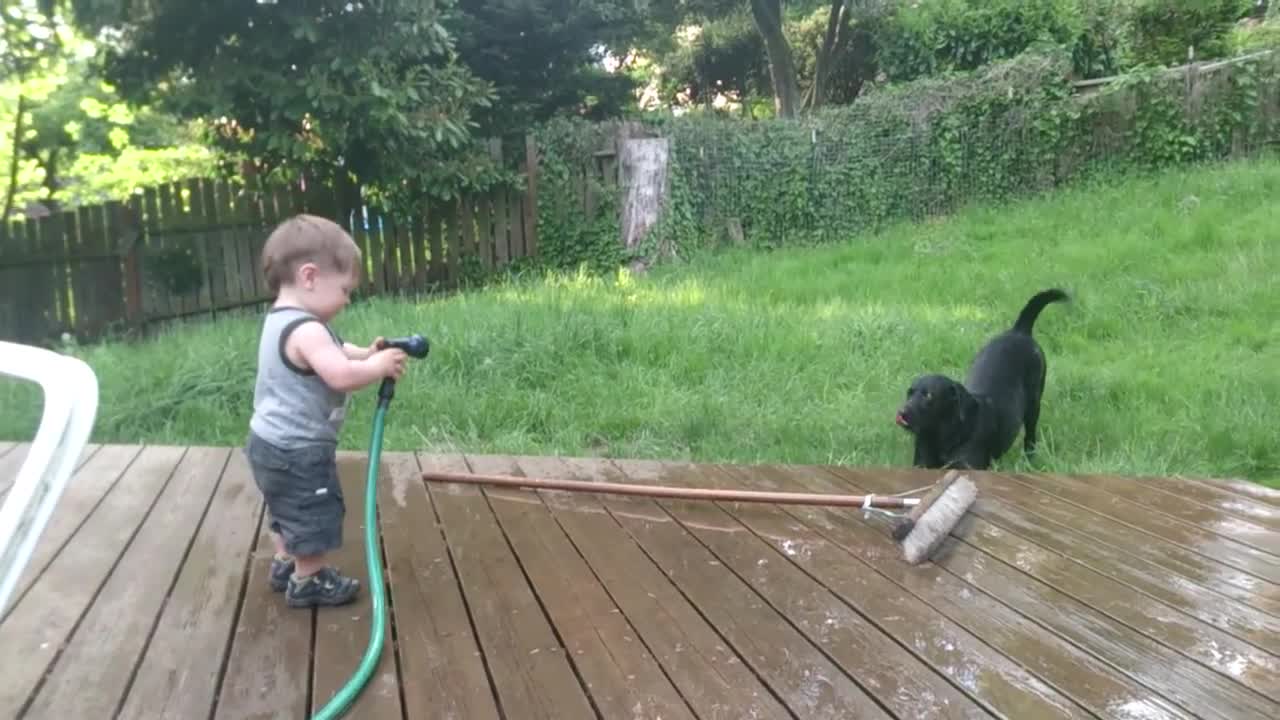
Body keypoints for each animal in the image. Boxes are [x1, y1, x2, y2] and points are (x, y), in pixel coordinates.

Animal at [890, 288, 1070, 468]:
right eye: (909, 393)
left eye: (928, 395)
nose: (901, 412)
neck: (942, 436)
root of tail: (1019, 330)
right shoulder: (921, 464)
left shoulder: (966, 465)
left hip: (1033, 406)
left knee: (1030, 437)